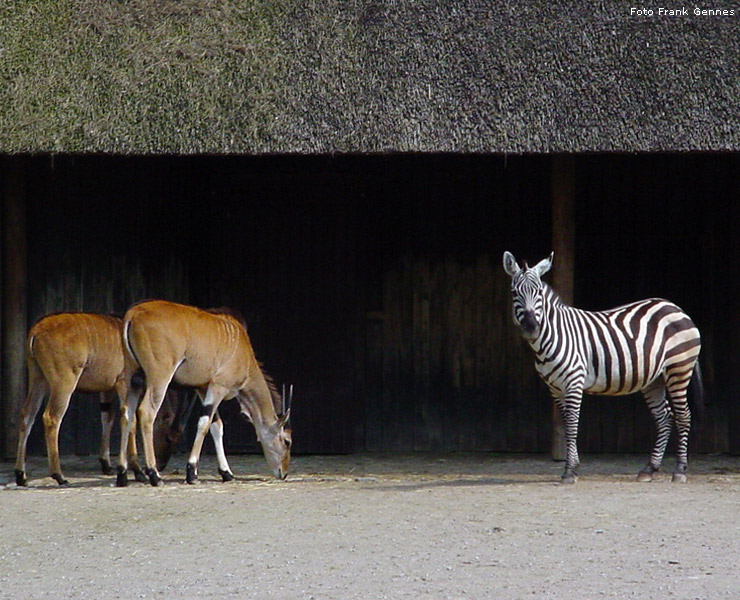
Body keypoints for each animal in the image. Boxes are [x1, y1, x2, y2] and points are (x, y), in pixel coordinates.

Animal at [14, 312, 149, 486]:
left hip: (38, 378)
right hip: (64, 383)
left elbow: (108, 418)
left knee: (27, 415)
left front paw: (106, 465)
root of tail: (36, 332)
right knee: (51, 417)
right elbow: (131, 420)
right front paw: (138, 471)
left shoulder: (107, 389)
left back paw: (21, 475)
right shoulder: (124, 383)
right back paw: (59, 476)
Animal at [117, 300, 290, 488]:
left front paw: (227, 473)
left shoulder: (202, 388)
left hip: (133, 380)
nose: (284, 473)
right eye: (287, 441)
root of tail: (134, 313)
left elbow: (216, 425)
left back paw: (122, 475)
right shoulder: (218, 386)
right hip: (159, 379)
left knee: (127, 414)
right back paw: (154, 475)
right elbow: (205, 423)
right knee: (146, 413)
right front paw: (192, 473)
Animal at [502, 251, 704, 486]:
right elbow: (565, 425)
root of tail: (674, 307)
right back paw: (649, 469)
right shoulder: (555, 387)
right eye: (515, 293)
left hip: (679, 369)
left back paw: (679, 470)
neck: (553, 335)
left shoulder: (574, 381)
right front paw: (574, 468)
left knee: (683, 415)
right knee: (665, 417)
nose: (531, 328)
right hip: (655, 379)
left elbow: (572, 424)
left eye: (539, 294)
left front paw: (569, 471)